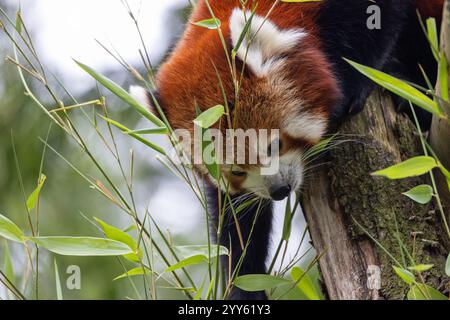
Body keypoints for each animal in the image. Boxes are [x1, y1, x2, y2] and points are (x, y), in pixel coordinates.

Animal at [132, 0, 444, 300]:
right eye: (237, 171)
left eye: (274, 145)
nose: (280, 190)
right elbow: (238, 222)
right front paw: (244, 286)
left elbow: (376, 23)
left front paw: (352, 86)